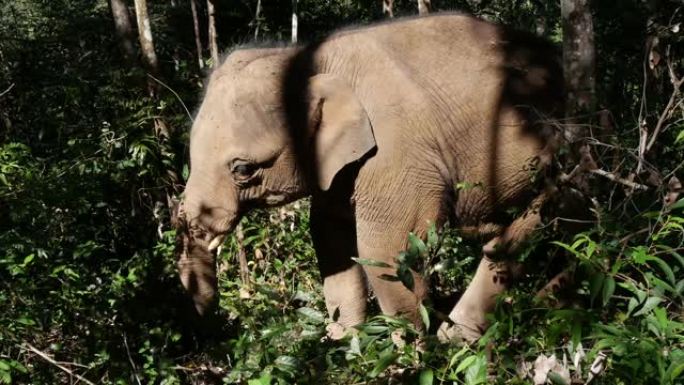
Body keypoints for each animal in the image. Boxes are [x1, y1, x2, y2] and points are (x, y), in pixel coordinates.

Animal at [176, 12, 568, 342]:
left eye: (242, 169)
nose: (218, 330)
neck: (309, 59)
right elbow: (330, 239)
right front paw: (346, 347)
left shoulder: (396, 154)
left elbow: (384, 250)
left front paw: (410, 357)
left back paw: (464, 336)